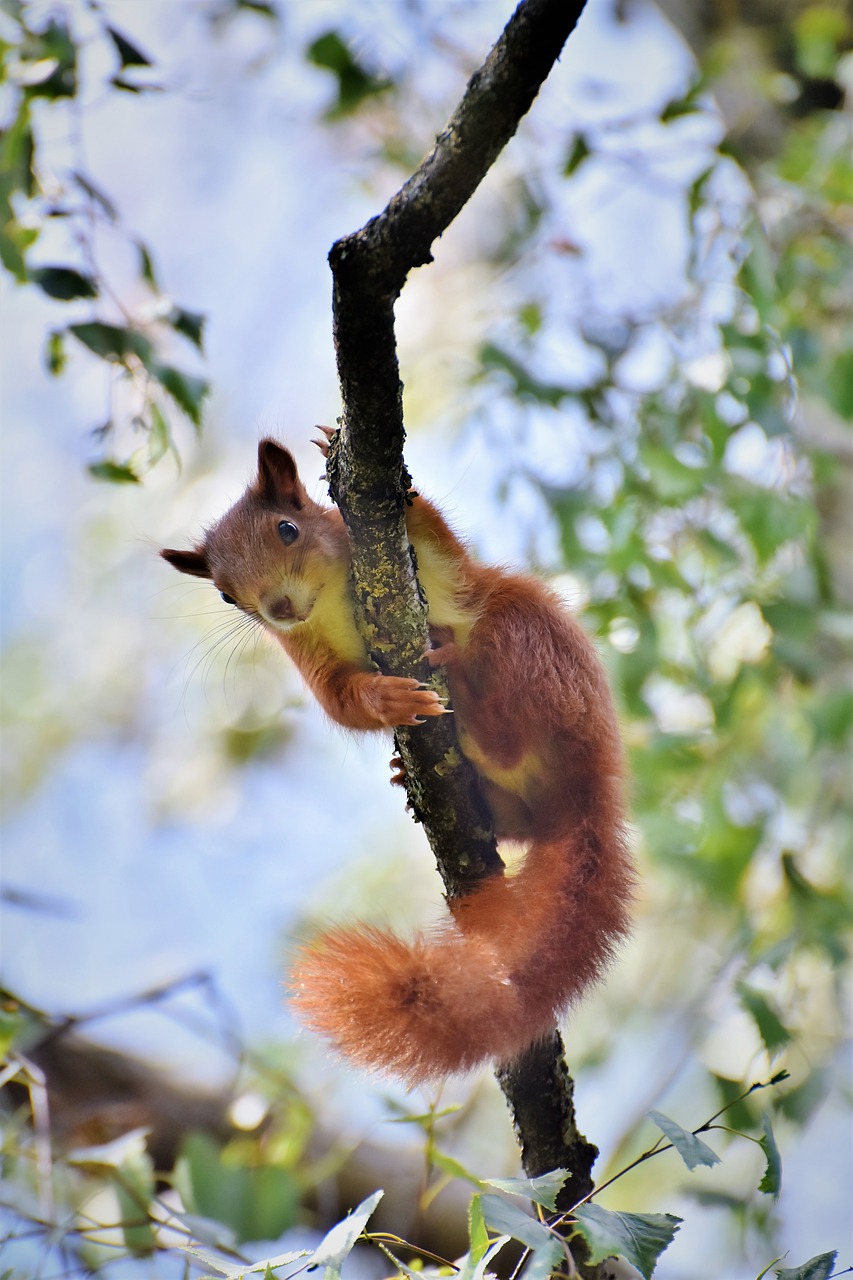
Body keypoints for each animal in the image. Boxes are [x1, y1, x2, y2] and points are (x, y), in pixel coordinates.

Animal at [163, 437, 630, 1080]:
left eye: (288, 529)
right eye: (226, 595)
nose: (279, 607)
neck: (328, 604)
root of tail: (591, 787)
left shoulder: (435, 573)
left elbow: (438, 545)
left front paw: (340, 447)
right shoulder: (312, 655)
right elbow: (344, 704)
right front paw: (389, 702)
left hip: (528, 638)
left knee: (503, 689)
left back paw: (467, 695)